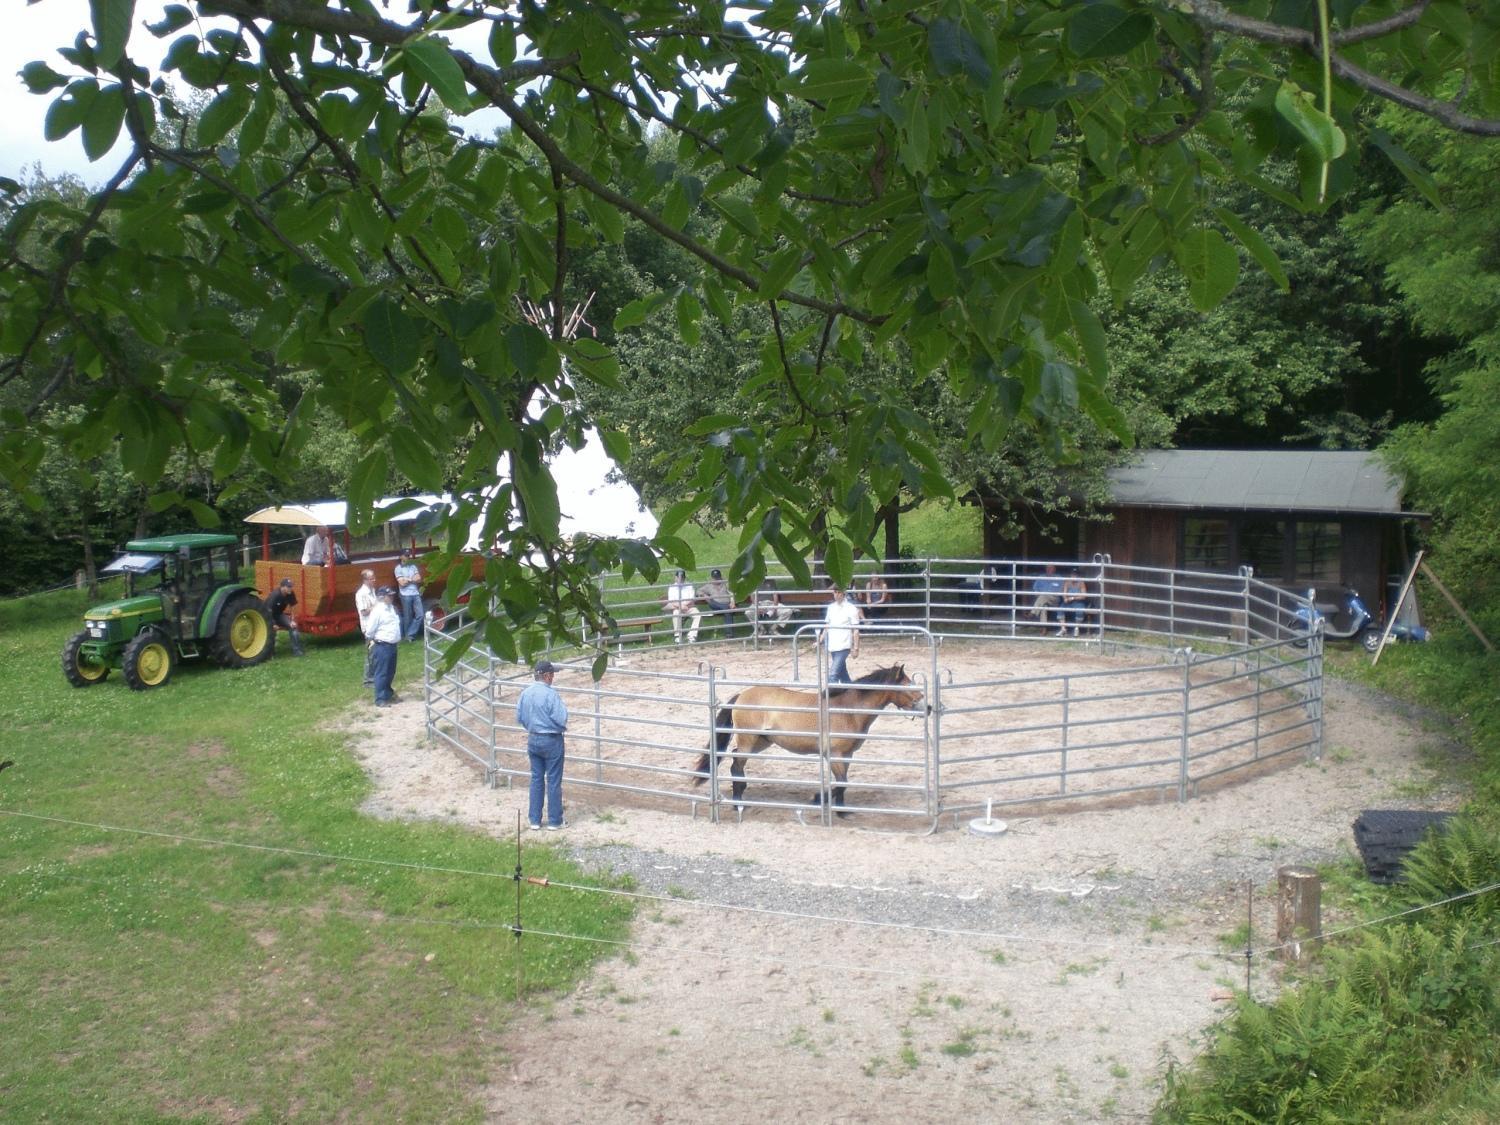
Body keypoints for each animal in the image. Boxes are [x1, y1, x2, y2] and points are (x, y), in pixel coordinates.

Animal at [693, 666, 924, 816]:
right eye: (907, 687)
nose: (927, 707)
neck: (848, 710)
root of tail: (742, 695)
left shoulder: (847, 754)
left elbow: (843, 783)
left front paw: (842, 810)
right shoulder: (835, 755)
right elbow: (842, 782)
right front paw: (817, 800)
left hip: (762, 742)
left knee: (735, 759)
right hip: (749, 741)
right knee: (735, 765)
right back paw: (738, 802)